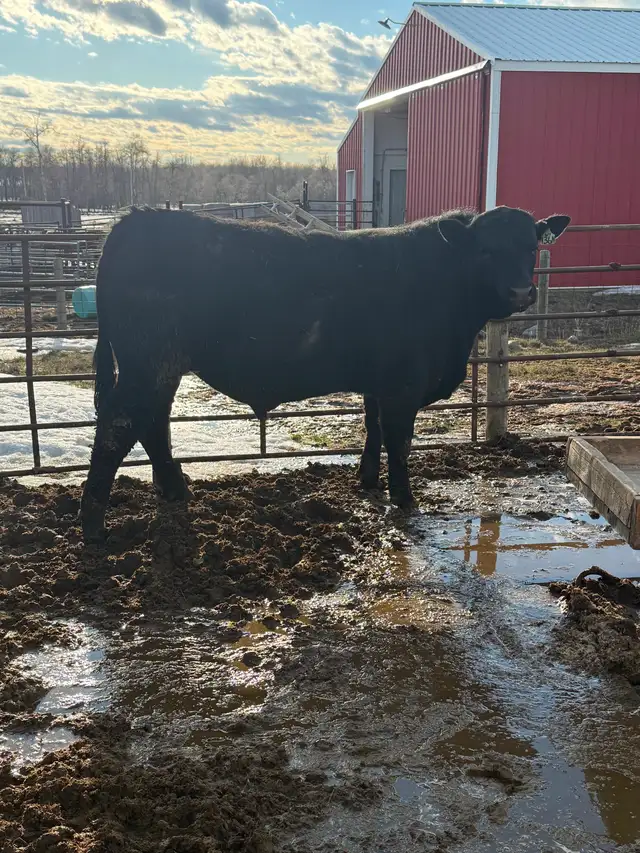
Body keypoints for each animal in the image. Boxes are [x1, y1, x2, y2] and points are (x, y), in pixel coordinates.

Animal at [80, 205, 570, 542]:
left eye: (531, 247)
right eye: (485, 250)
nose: (521, 291)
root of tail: (134, 221)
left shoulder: (379, 382)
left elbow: (373, 428)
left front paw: (367, 482)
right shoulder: (402, 387)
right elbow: (399, 441)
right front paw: (404, 499)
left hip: (160, 367)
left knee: (151, 423)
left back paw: (174, 490)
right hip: (149, 362)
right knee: (120, 425)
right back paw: (94, 526)